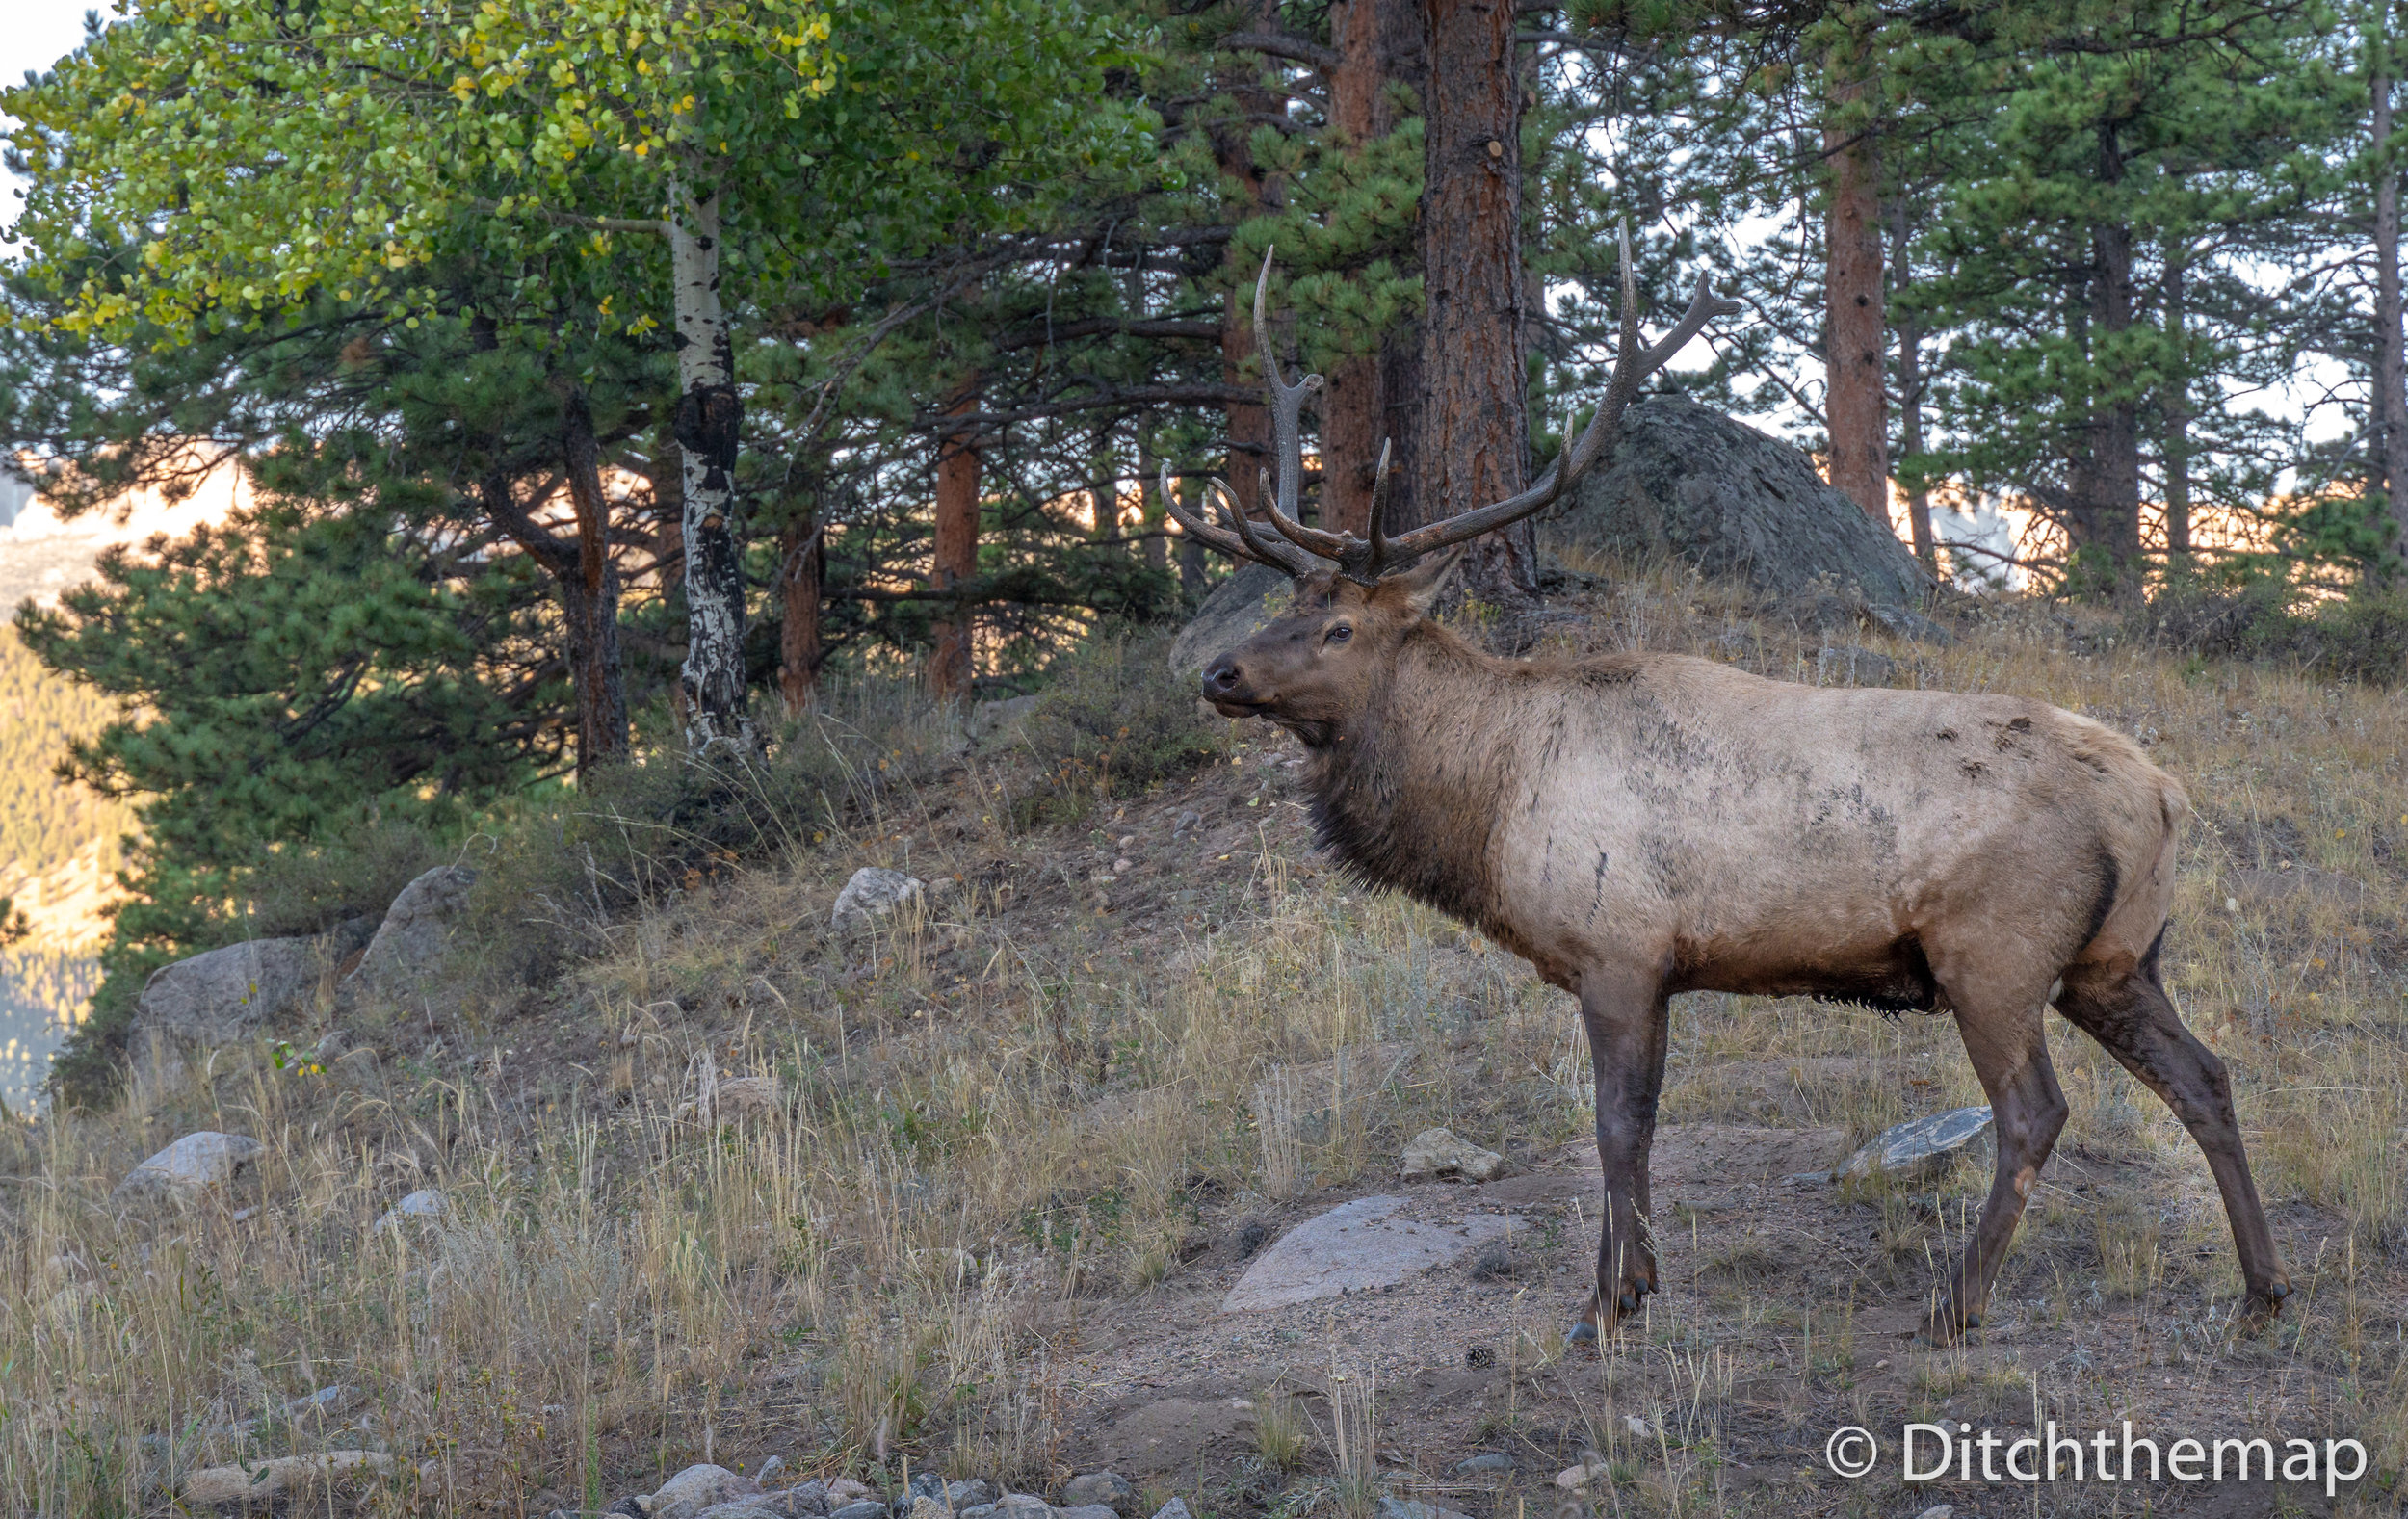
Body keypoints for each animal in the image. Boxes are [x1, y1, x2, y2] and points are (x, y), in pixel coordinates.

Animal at [1170, 240, 2292, 1338]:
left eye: (1338, 627)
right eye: (1285, 605)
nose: (1218, 672)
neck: (1487, 804)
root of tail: (2164, 801)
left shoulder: (1619, 947)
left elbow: (1617, 1127)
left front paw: (1606, 1305)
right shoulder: (1652, 964)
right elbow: (1630, 1128)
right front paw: (1632, 1284)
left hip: (1997, 950)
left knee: (2034, 1112)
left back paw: (1956, 1301)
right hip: (2116, 957)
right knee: (2207, 1076)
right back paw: (2262, 1287)